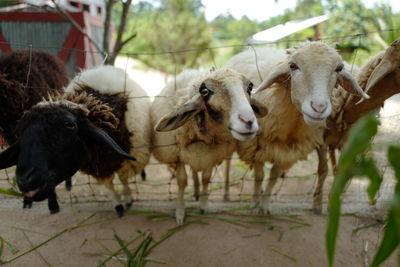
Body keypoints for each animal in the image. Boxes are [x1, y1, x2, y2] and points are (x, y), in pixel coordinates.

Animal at [0, 65, 152, 218]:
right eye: (20, 133)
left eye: (69, 125)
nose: (24, 179)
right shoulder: (98, 165)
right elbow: (109, 184)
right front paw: (118, 205)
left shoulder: (127, 159)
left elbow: (123, 178)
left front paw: (127, 199)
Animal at [152, 68, 268, 225]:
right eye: (205, 91)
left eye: (250, 87)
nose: (248, 121)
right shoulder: (178, 156)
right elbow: (182, 181)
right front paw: (180, 212)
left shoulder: (212, 157)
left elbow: (206, 179)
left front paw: (203, 205)